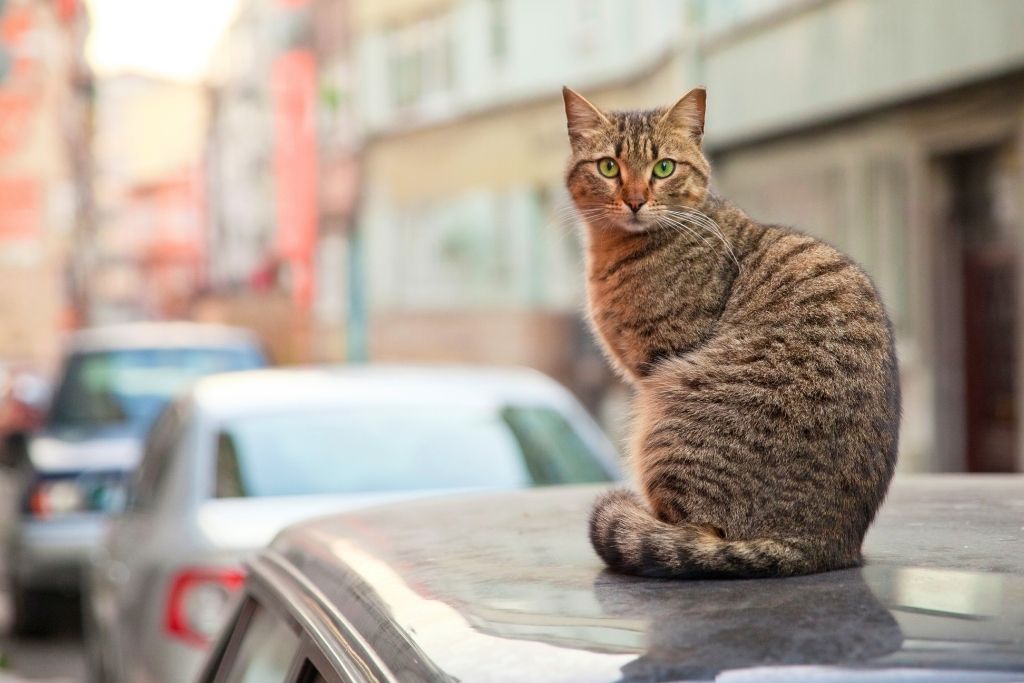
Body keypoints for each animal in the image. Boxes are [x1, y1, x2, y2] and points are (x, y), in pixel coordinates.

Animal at [565, 85, 901, 577]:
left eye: (663, 168)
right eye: (609, 167)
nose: (635, 199)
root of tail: (821, 545)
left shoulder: (660, 358)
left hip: (664, 414)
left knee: (693, 535)